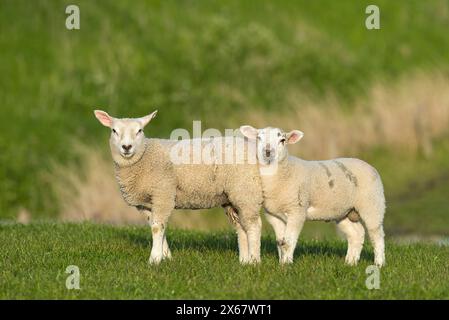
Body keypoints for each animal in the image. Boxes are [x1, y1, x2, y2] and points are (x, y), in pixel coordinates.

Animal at [93, 110, 262, 264]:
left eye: (139, 130)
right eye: (114, 131)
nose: (126, 147)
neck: (144, 156)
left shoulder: (163, 193)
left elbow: (157, 227)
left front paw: (155, 259)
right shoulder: (147, 204)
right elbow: (157, 226)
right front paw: (166, 256)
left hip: (246, 189)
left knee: (254, 225)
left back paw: (254, 261)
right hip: (231, 197)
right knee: (240, 226)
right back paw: (244, 260)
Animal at [240, 124, 384, 264]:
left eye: (282, 140)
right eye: (258, 138)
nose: (268, 152)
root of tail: (369, 165)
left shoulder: (297, 211)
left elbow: (288, 242)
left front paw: (287, 264)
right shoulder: (274, 215)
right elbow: (280, 242)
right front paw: (281, 263)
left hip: (372, 205)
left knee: (377, 235)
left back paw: (379, 263)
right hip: (343, 211)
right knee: (357, 233)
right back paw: (350, 262)